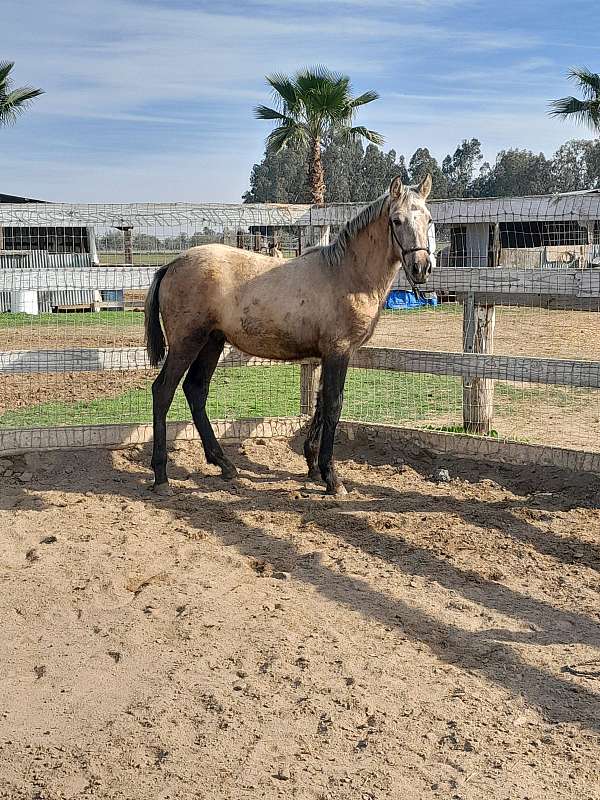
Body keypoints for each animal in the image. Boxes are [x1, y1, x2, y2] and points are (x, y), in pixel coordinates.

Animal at [146, 177, 436, 494]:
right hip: (187, 343)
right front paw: (332, 478)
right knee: (163, 391)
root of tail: (171, 265)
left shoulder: (327, 355)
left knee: (196, 390)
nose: (421, 268)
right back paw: (161, 476)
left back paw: (224, 464)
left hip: (212, 342)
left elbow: (320, 402)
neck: (347, 275)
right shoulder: (339, 351)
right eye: (396, 220)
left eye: (429, 219)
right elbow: (334, 404)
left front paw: (313, 466)